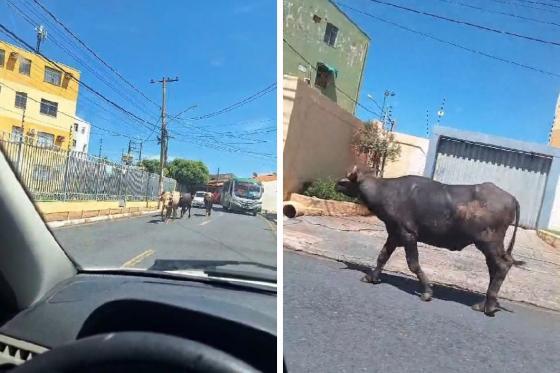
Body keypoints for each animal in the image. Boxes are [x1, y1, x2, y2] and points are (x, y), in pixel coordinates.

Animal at [336, 166, 524, 314]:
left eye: (346, 180)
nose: (336, 184)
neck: (387, 192)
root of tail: (512, 198)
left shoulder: (408, 235)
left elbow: (413, 264)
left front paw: (427, 291)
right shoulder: (394, 234)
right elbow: (382, 256)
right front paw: (371, 277)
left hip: (488, 242)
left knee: (502, 266)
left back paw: (489, 306)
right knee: (496, 268)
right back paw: (486, 303)